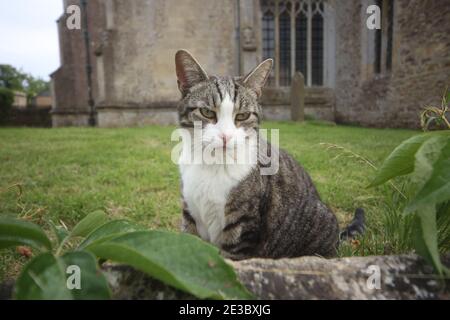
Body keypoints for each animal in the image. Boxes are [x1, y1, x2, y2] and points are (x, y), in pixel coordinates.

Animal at [174, 50, 364, 260]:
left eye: (242, 116)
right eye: (207, 112)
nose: (226, 136)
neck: (212, 164)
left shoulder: (243, 226)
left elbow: (231, 259)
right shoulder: (190, 214)